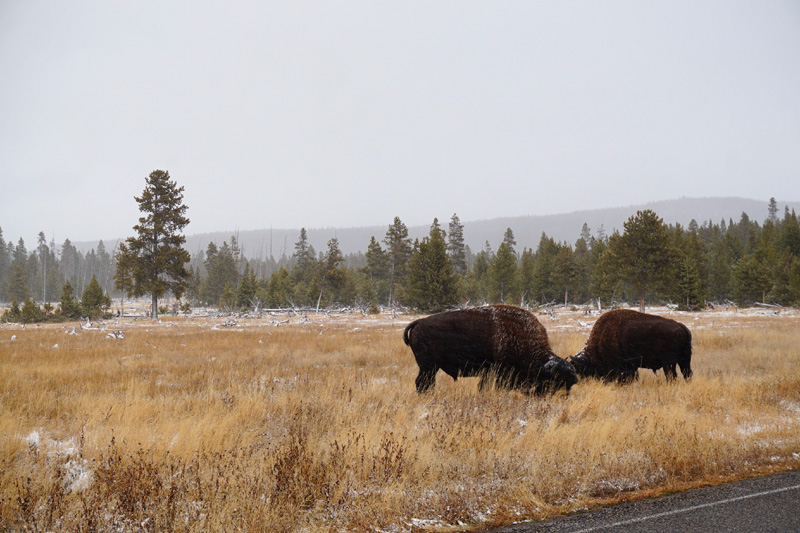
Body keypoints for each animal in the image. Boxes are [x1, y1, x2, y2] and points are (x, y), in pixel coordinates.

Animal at [403, 304, 578, 394]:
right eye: (556, 383)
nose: (563, 398)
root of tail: (419, 322)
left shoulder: (488, 372)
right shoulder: (500, 372)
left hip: (430, 368)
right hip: (428, 367)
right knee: (422, 383)